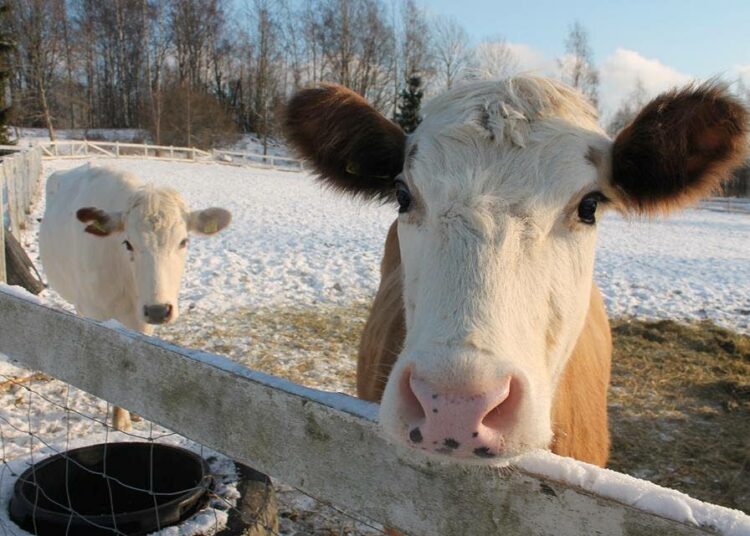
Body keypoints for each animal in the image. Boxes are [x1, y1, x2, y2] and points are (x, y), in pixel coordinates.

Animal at [38, 164, 231, 432]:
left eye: (184, 241)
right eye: (128, 243)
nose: (159, 310)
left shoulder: (142, 320)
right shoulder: (98, 313)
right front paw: (120, 420)